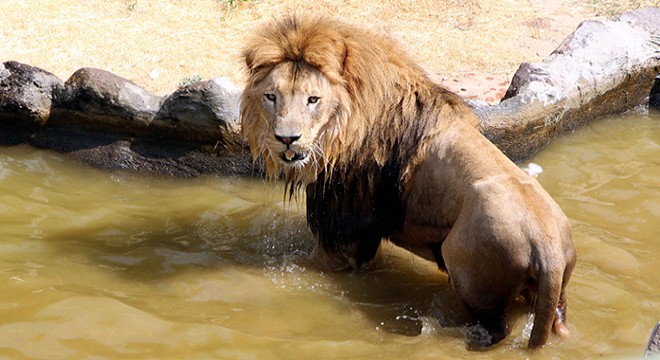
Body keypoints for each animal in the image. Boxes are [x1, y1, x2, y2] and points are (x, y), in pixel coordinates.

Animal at [240, 14, 576, 348]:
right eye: (271, 97)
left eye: (313, 99)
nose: (286, 139)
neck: (341, 133)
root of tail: (547, 249)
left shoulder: (341, 234)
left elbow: (313, 265)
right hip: (554, 296)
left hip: (469, 269)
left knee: (496, 330)